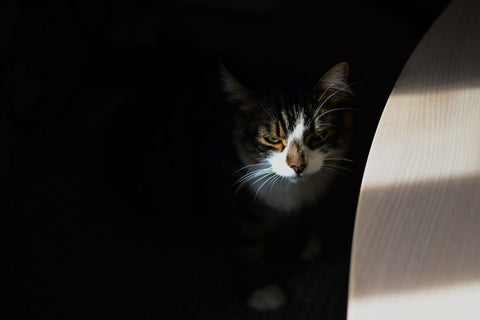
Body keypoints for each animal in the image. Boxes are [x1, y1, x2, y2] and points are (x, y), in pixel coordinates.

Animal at [220, 62, 356, 310]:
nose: (297, 167)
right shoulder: (234, 205)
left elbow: (289, 218)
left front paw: (299, 242)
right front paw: (260, 291)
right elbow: (245, 248)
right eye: (273, 140)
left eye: (317, 136)